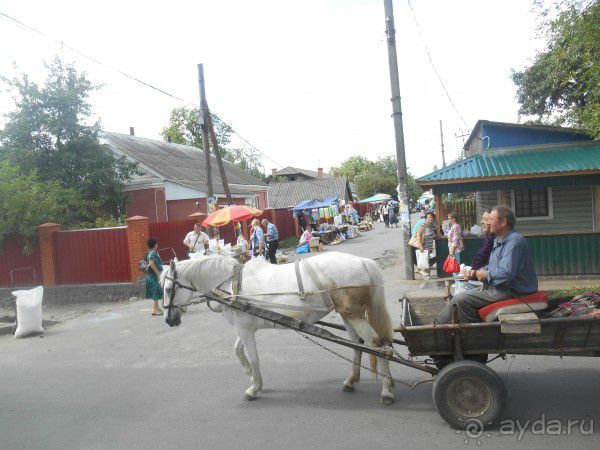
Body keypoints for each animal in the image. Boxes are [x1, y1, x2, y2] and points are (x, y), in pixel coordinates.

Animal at [159, 253, 396, 404]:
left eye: (168, 288)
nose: (168, 319)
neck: (232, 284)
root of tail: (364, 262)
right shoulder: (246, 326)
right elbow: (238, 350)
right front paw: (249, 374)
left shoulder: (244, 328)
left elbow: (254, 358)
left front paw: (254, 388)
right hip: (348, 314)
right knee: (358, 344)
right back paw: (351, 381)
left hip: (354, 315)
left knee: (377, 344)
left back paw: (386, 390)